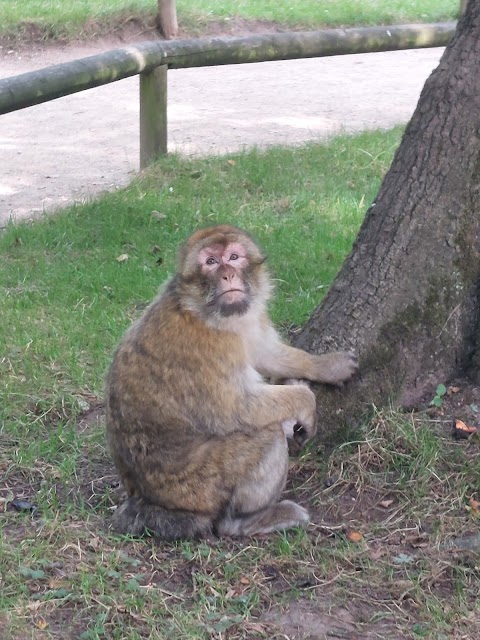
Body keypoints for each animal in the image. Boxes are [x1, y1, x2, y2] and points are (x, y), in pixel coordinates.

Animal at [104, 225, 356, 540]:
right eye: (211, 262)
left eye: (234, 257)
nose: (227, 275)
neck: (204, 313)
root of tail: (145, 497)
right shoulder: (209, 347)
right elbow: (236, 409)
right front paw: (306, 402)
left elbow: (265, 352)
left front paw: (327, 366)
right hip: (198, 487)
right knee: (266, 434)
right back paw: (245, 521)